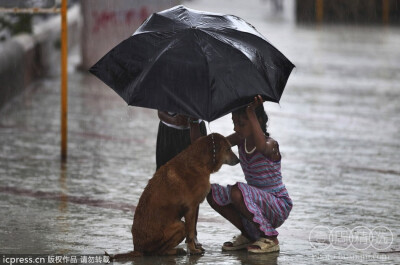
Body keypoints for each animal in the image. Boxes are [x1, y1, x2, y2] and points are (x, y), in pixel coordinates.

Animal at [108, 133, 239, 256]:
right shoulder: (191, 209)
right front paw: (193, 250)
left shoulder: (193, 208)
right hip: (180, 226)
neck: (199, 161)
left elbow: (192, 232)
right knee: (158, 252)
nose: (238, 160)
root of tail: (137, 249)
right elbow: (191, 234)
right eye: (228, 149)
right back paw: (175, 251)